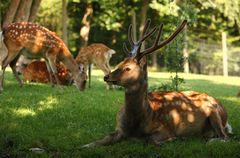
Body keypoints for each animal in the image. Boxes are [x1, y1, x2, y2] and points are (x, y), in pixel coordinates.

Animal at [82, 19, 231, 147]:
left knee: (224, 136)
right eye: (119, 64)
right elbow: (102, 139)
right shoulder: (119, 128)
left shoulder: (165, 127)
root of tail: (224, 110)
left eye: (128, 68)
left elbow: (150, 139)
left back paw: (209, 140)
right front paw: (84, 145)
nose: (106, 77)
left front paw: (172, 139)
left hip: (214, 111)